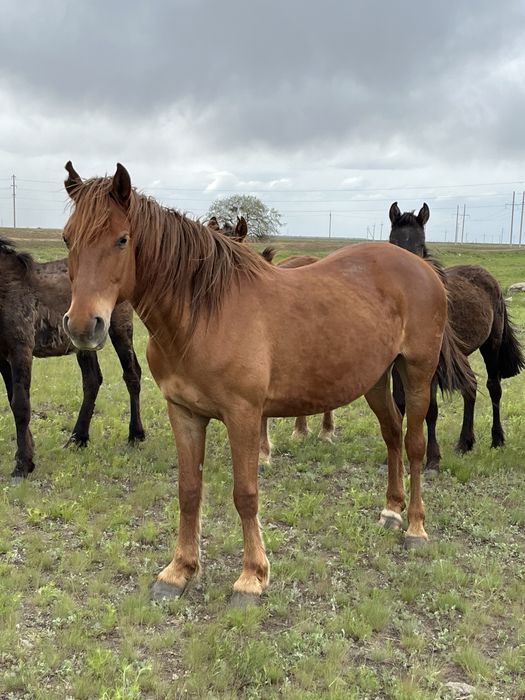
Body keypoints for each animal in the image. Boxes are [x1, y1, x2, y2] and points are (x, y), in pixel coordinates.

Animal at [0, 237, 145, 479]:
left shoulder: (21, 350)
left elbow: (20, 405)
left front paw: (22, 465)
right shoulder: (2, 357)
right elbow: (14, 402)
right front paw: (29, 455)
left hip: (120, 328)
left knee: (132, 374)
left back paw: (136, 434)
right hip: (84, 343)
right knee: (93, 381)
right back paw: (78, 438)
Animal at [61, 162, 474, 605]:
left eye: (122, 239)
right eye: (67, 238)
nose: (84, 325)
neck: (203, 315)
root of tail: (420, 267)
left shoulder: (243, 415)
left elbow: (245, 495)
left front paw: (251, 577)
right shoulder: (184, 413)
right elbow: (189, 491)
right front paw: (179, 571)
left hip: (416, 373)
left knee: (413, 444)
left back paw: (415, 527)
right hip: (377, 380)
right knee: (393, 435)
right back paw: (391, 512)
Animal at [389, 202, 524, 469]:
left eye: (421, 246)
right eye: (392, 243)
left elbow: (430, 409)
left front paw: (432, 459)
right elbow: (399, 404)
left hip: (491, 346)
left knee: (493, 388)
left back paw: (497, 439)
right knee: (470, 387)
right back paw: (465, 442)